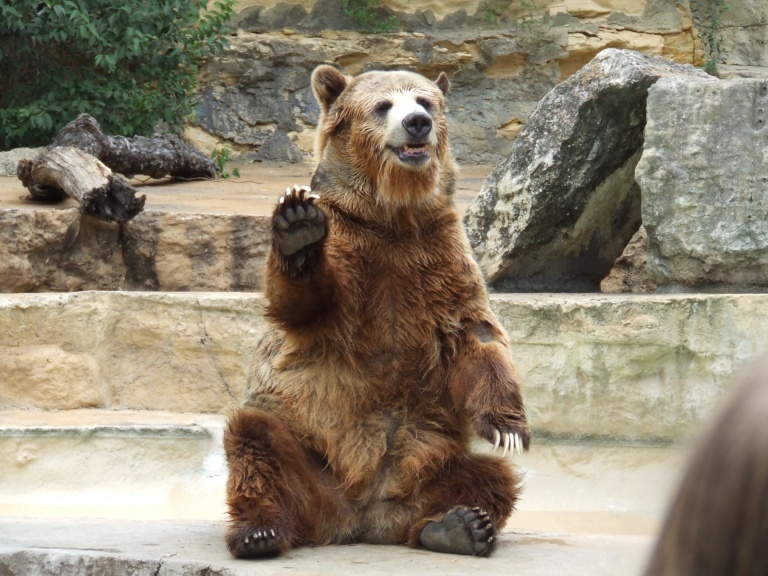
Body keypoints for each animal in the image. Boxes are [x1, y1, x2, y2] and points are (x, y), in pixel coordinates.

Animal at [223, 64, 530, 559]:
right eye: (383, 105)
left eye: (425, 101)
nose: (417, 123)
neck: (392, 216)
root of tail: (361, 518)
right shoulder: (354, 259)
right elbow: (304, 306)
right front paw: (297, 226)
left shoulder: (441, 258)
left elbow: (478, 335)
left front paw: (509, 430)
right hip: (311, 457)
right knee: (256, 441)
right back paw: (259, 532)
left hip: (431, 467)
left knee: (490, 478)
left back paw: (459, 526)